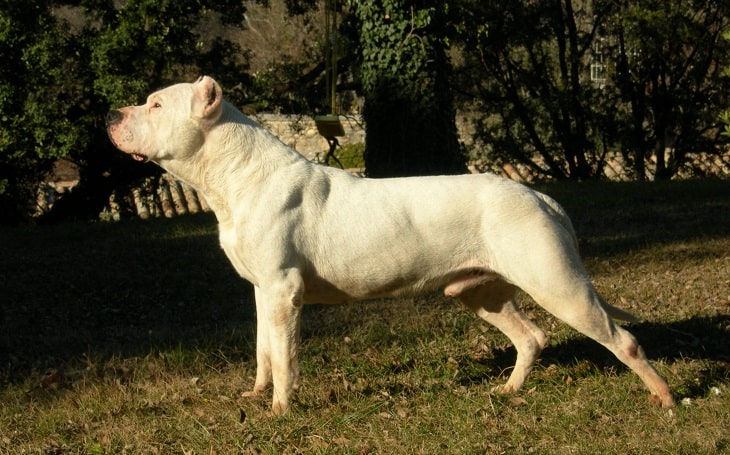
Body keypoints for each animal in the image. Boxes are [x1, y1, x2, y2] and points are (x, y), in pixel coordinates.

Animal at [106, 76, 672, 416]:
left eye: (156, 104)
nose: (111, 115)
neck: (234, 174)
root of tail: (539, 194)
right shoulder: (262, 292)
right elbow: (265, 351)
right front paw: (257, 393)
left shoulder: (283, 293)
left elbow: (285, 357)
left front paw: (281, 411)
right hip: (479, 292)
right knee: (531, 337)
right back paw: (509, 391)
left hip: (559, 285)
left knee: (622, 341)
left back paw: (665, 397)